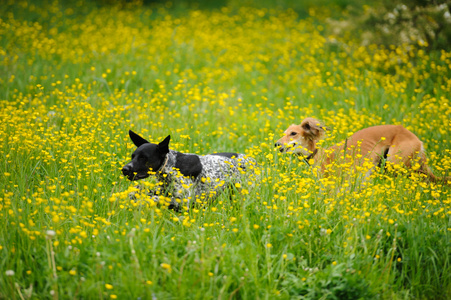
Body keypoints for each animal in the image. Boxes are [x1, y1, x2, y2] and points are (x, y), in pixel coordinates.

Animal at [121, 130, 254, 210]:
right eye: (133, 156)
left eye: (143, 157)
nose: (124, 169)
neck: (172, 165)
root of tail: (252, 160)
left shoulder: (184, 202)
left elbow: (157, 198)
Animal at [278, 117, 450, 183]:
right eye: (284, 132)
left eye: (293, 133)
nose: (276, 144)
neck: (319, 155)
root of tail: (417, 140)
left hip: (396, 163)